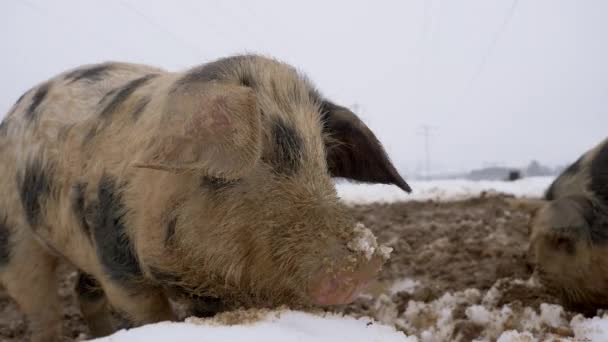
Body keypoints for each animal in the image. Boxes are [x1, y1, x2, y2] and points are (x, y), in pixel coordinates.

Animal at [0, 54, 414, 340]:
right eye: (250, 158)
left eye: (321, 160)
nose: (361, 263)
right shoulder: (115, 259)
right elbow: (149, 315)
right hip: (17, 240)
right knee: (42, 308)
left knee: (83, 294)